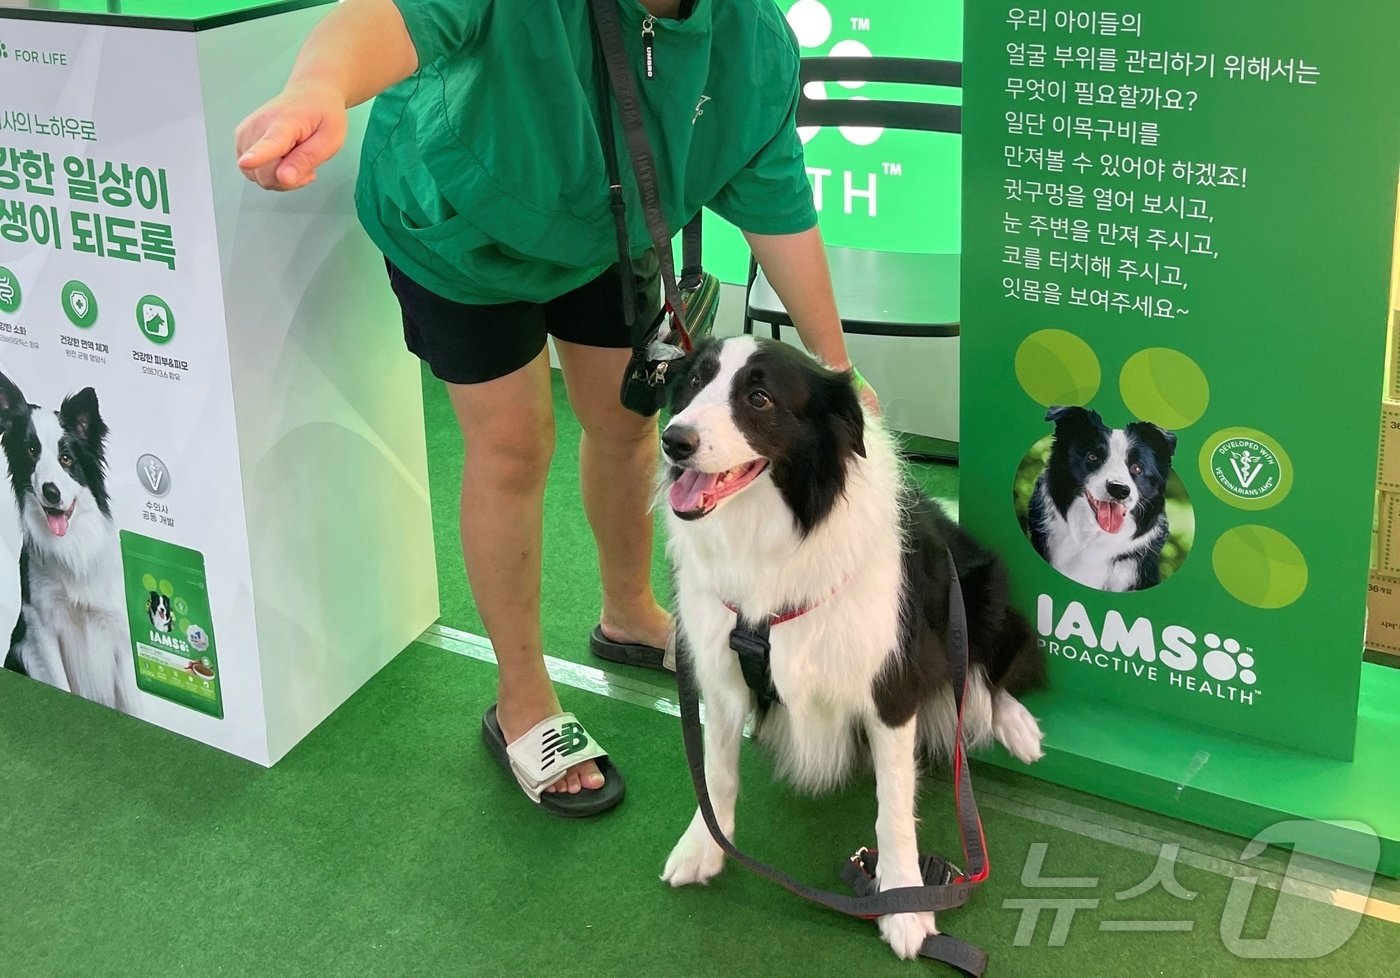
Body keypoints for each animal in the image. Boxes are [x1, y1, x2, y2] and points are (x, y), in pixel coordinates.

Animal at [0, 372, 136, 716]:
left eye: (66, 459)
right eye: (30, 451)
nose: (51, 492)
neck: (72, 547)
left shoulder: (119, 629)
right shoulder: (41, 624)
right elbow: (60, 685)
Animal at [652, 339, 1041, 962]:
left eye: (759, 397)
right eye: (691, 382)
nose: (674, 440)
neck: (776, 536)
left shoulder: (891, 686)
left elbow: (894, 808)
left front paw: (904, 904)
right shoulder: (722, 669)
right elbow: (715, 770)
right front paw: (703, 847)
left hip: (982, 594)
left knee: (991, 676)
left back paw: (1017, 727)